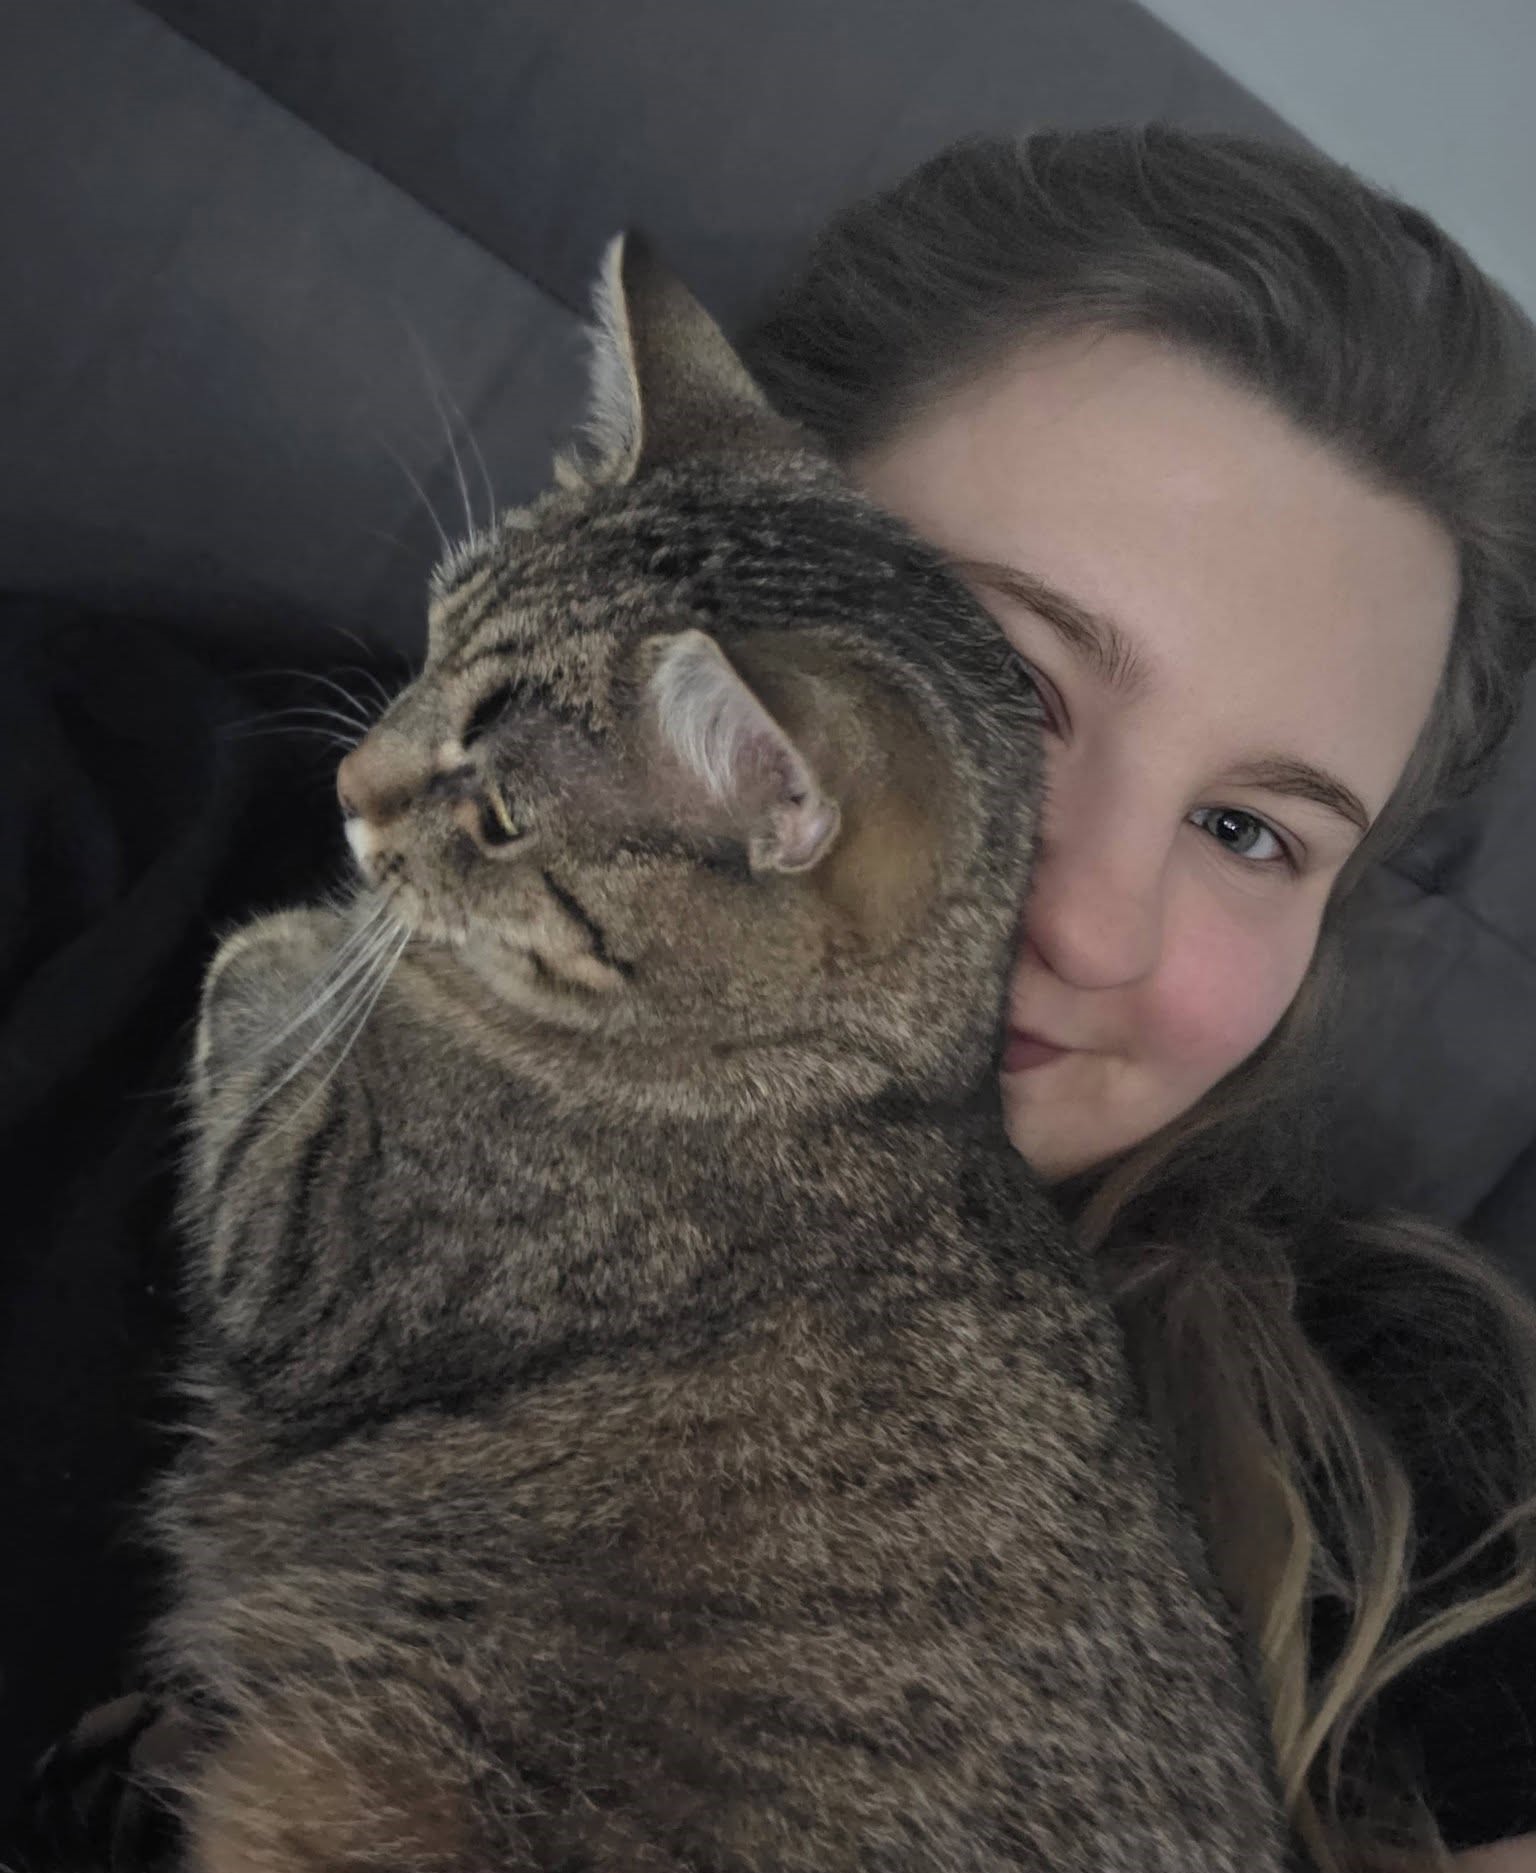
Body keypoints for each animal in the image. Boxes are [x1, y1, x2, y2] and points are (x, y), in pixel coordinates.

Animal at [142, 233, 1297, 1872]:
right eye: (429, 638)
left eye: (501, 812)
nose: (350, 783)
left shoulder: (313, 1235)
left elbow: (255, 989)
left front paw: (341, 939)